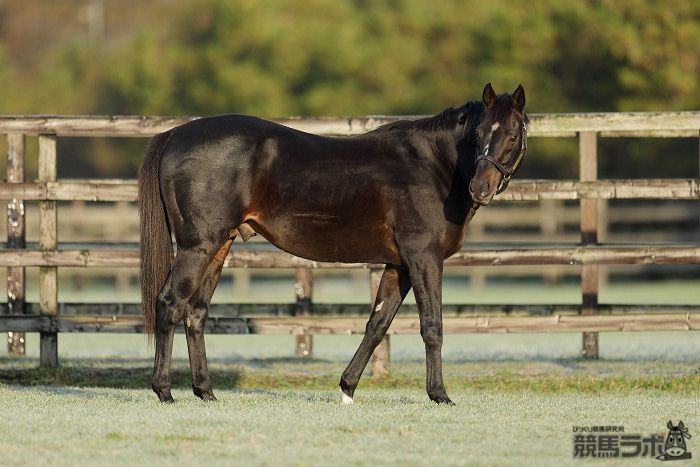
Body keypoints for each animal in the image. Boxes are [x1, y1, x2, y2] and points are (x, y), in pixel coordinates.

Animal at [139, 82, 528, 404]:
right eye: (479, 132)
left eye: (513, 135)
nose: (480, 188)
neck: (431, 166)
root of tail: (174, 134)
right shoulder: (425, 258)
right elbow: (432, 326)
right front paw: (439, 395)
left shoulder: (399, 264)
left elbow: (377, 324)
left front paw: (347, 388)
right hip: (197, 246)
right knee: (170, 304)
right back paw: (164, 392)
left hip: (219, 246)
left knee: (196, 311)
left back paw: (205, 392)